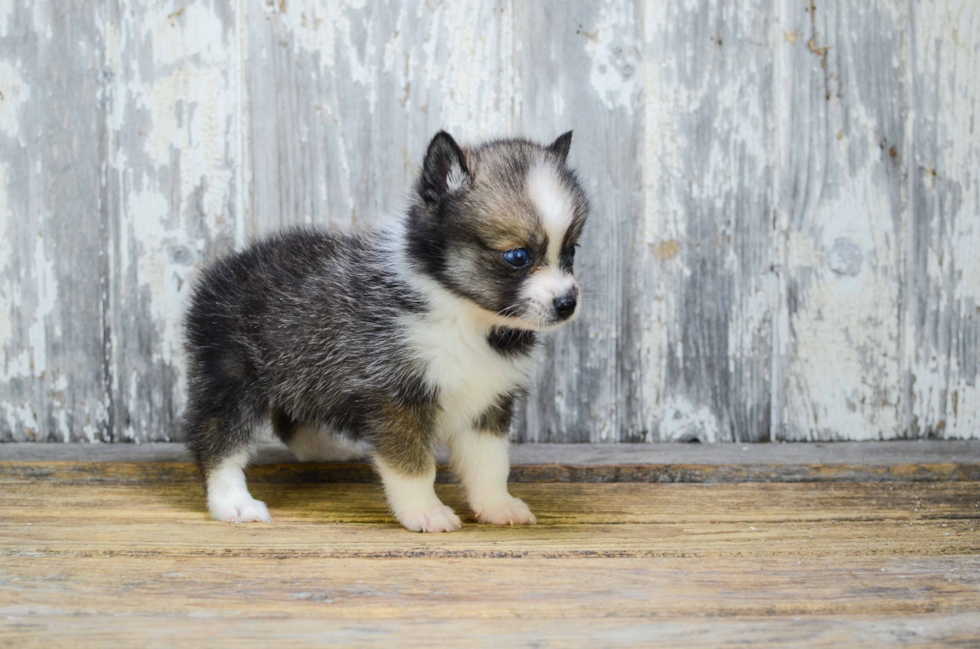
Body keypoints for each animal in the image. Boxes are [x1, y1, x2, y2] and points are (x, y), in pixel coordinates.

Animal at [184, 130, 588, 532]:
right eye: (517, 256)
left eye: (571, 251)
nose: (567, 303)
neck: (463, 315)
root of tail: (223, 268)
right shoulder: (395, 397)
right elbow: (413, 466)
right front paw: (425, 511)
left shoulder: (488, 401)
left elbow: (489, 464)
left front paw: (497, 506)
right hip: (232, 375)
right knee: (218, 439)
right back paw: (233, 502)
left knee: (289, 417)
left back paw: (323, 448)